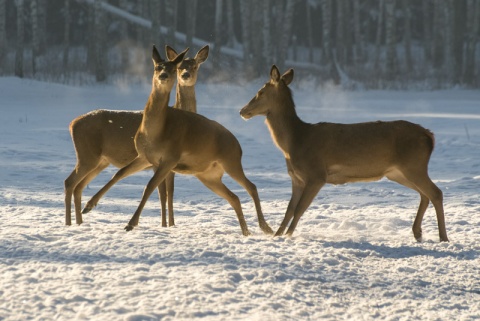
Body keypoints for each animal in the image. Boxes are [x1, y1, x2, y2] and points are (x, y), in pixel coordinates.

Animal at [63, 45, 208, 226]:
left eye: (194, 66)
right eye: (181, 67)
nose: (185, 75)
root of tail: (72, 124)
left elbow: (170, 193)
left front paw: (171, 224)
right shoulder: (160, 163)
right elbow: (164, 194)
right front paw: (165, 225)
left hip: (100, 161)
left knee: (79, 186)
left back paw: (79, 222)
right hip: (87, 155)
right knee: (69, 182)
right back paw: (69, 223)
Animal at [80, 45, 272, 235]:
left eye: (173, 69)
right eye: (157, 67)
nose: (163, 75)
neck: (155, 132)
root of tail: (238, 145)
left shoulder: (170, 158)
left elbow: (150, 187)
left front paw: (131, 223)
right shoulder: (144, 157)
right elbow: (119, 173)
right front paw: (88, 206)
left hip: (231, 161)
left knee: (251, 187)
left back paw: (265, 227)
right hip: (208, 175)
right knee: (234, 197)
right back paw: (246, 231)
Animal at [240, 65, 450, 241]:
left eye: (260, 92)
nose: (242, 110)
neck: (295, 142)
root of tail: (429, 136)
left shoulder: (316, 175)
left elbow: (299, 209)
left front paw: (288, 236)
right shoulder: (296, 178)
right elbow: (289, 209)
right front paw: (277, 235)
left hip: (414, 165)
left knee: (436, 192)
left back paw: (443, 237)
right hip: (398, 172)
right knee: (425, 194)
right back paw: (418, 232)